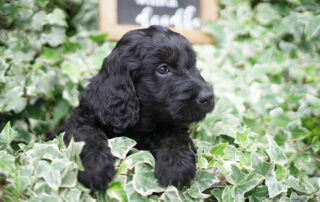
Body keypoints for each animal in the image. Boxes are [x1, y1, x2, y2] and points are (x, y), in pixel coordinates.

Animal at [61, 25, 214, 189]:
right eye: (163, 69)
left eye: (192, 65)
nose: (208, 97)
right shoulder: (84, 117)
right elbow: (87, 134)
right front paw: (95, 166)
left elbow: (175, 136)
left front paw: (176, 165)